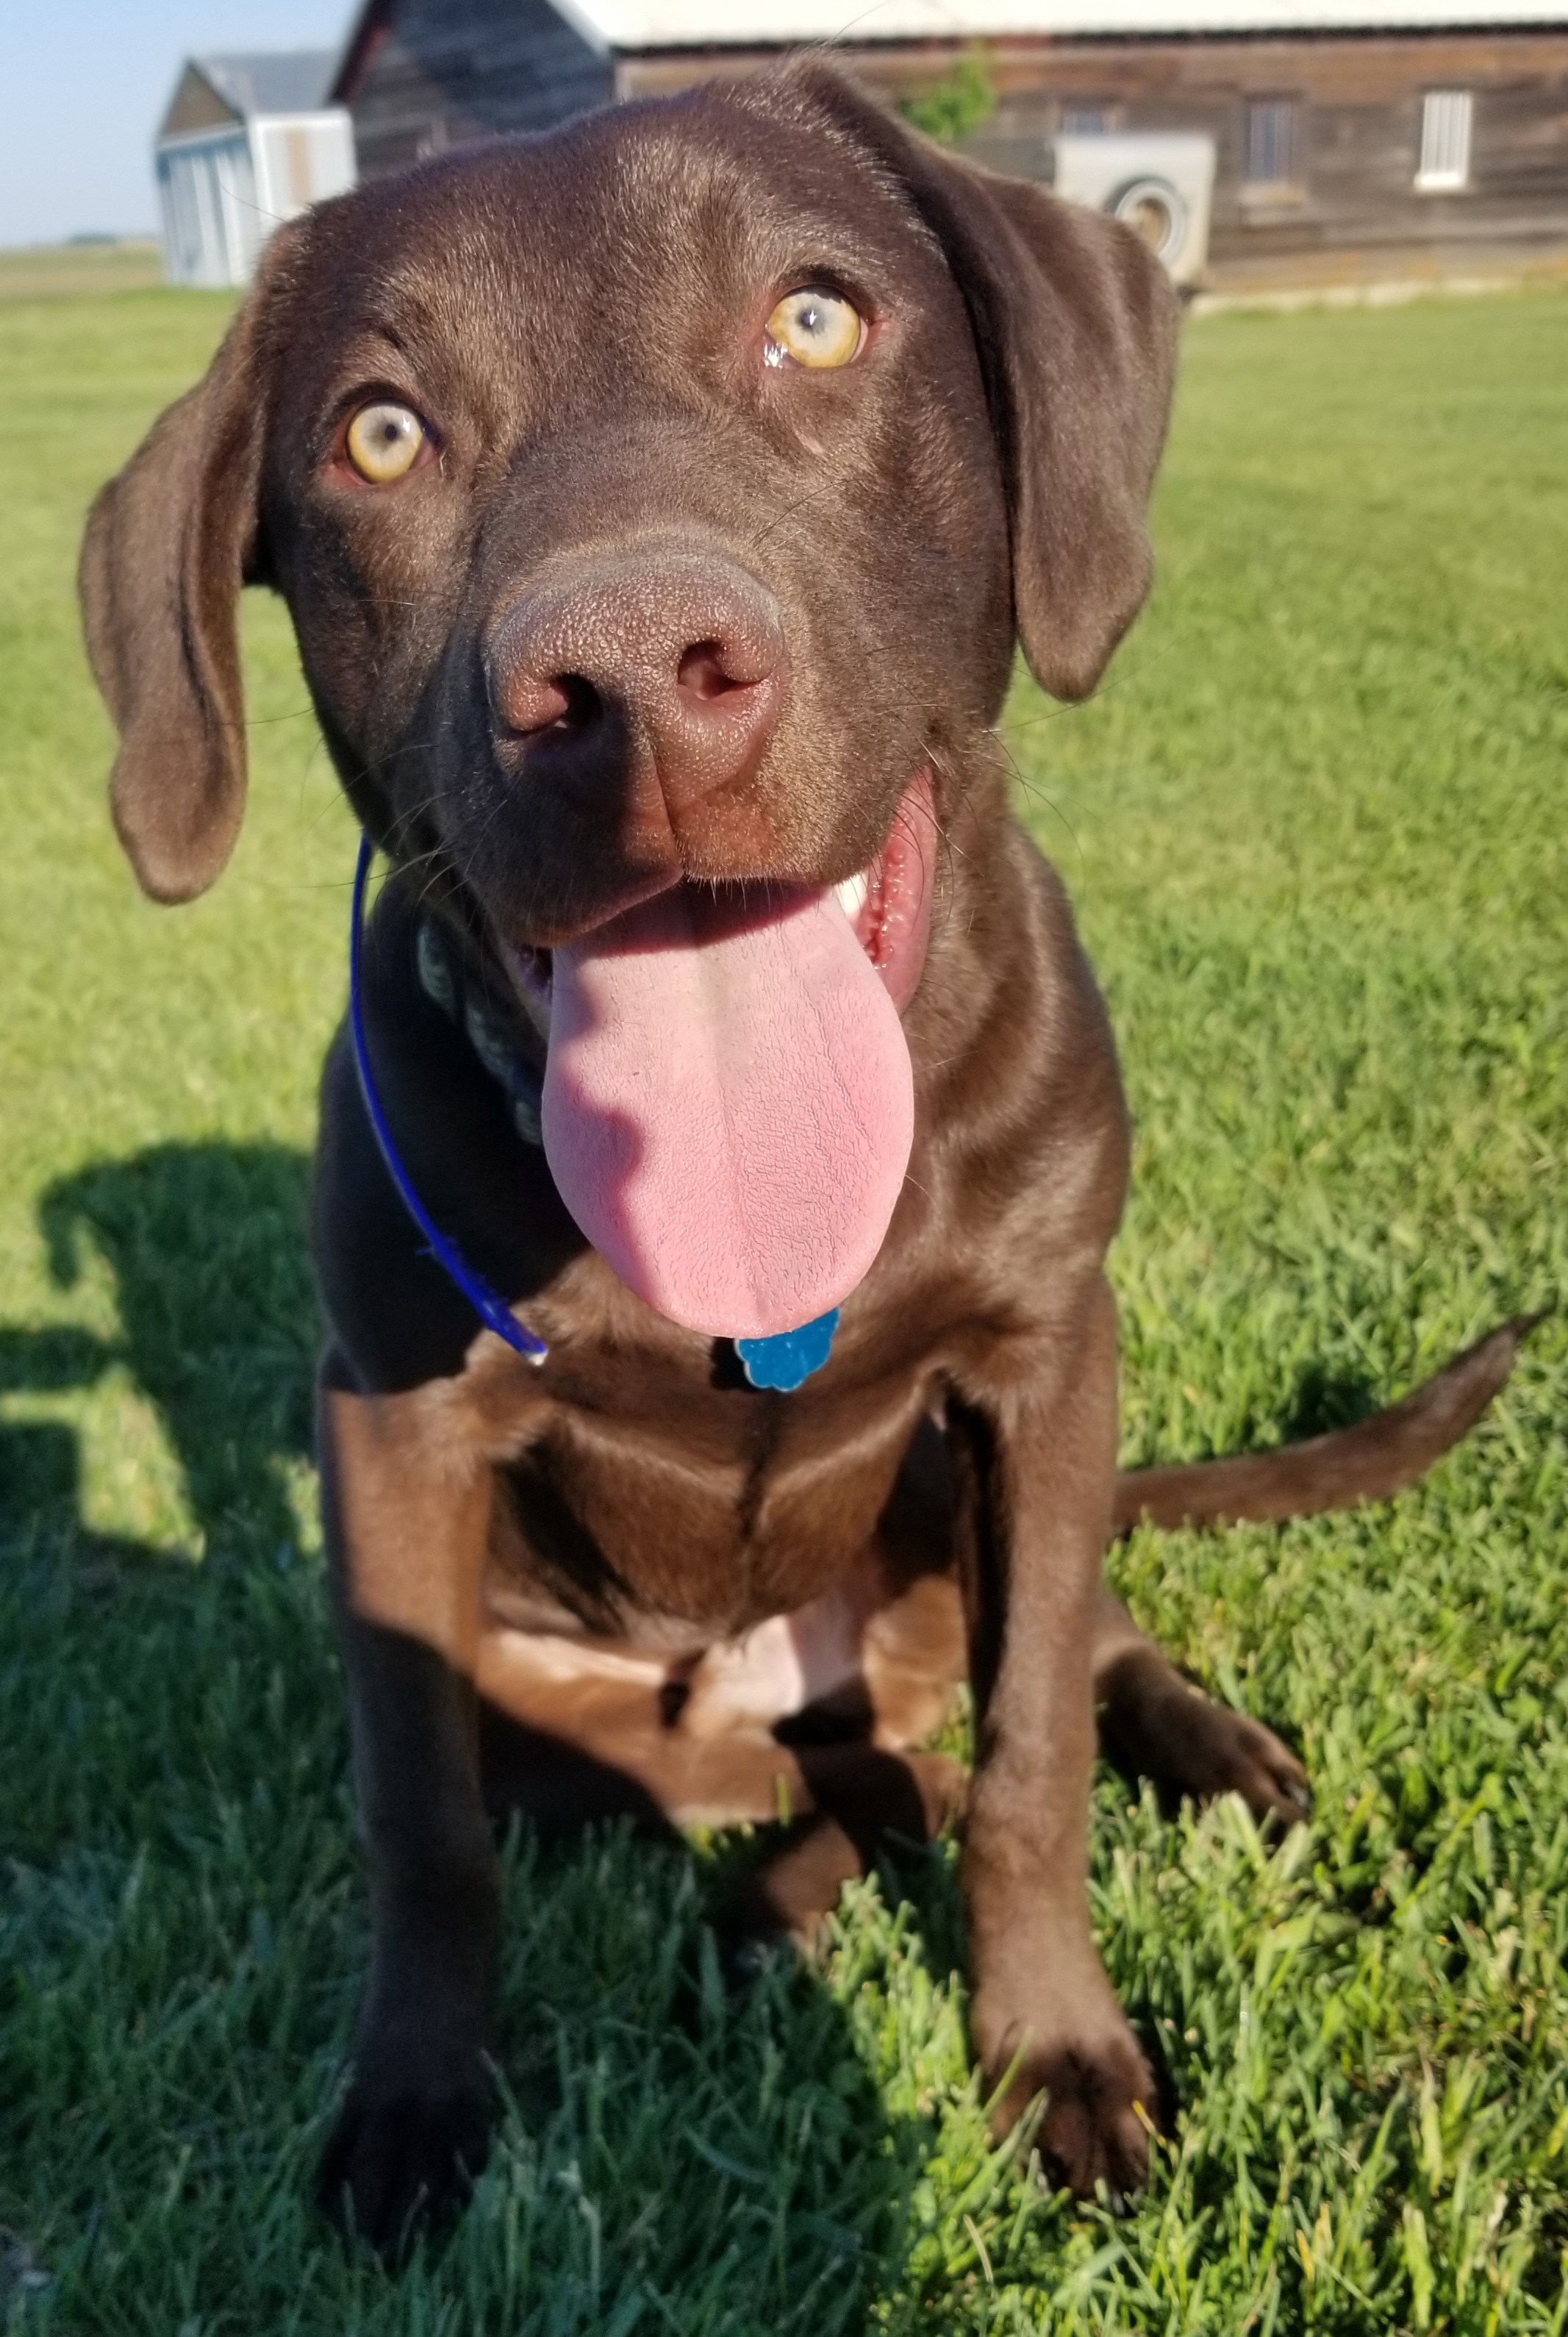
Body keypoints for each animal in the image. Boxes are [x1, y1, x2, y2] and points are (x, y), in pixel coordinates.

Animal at [76, 68, 1533, 2262]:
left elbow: (1032, 1756)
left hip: (969, 1519)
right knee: (838, 1785)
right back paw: (765, 1913)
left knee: (1046, 1668)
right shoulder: (388, 1431)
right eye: (380, 432)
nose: (626, 681)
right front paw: (413, 2104)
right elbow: (417, 1810)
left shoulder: (1046, 1358)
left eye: (818, 321)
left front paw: (1055, 2050)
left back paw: (1195, 1753)